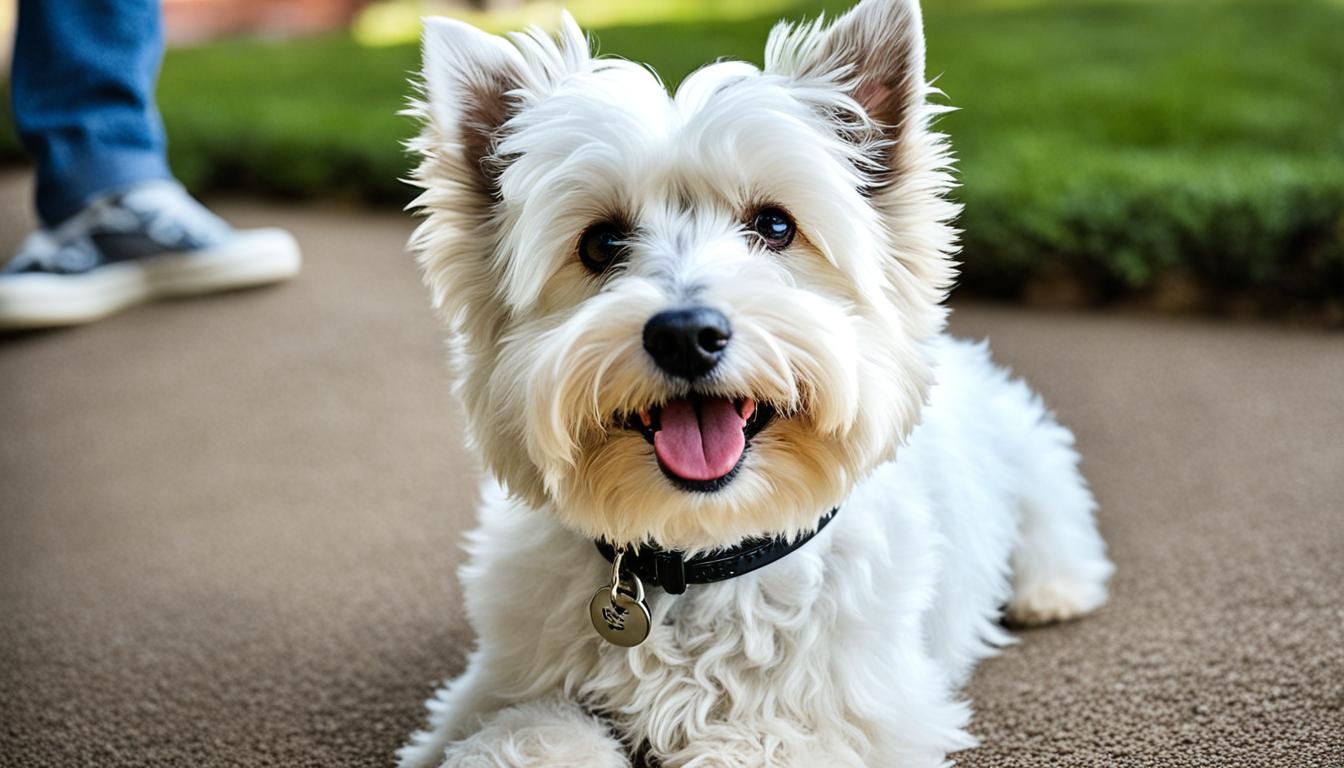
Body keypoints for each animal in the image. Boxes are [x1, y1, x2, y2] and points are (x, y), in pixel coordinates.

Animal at [397, 3, 1112, 763]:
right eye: (600, 243)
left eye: (774, 224)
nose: (684, 334)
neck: (699, 553)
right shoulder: (491, 689)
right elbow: (527, 728)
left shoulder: (854, 718)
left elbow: (753, 741)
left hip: (1035, 466)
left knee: (1058, 530)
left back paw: (1051, 593)